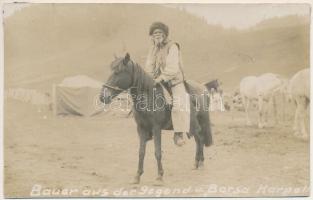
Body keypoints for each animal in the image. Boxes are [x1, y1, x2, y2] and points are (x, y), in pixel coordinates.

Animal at [100, 52, 212, 184]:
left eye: (118, 72)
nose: (103, 96)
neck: (149, 97)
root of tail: (203, 88)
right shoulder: (141, 129)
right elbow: (141, 152)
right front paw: (137, 176)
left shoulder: (156, 128)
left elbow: (157, 152)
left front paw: (159, 176)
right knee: (198, 139)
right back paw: (196, 163)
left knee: (200, 139)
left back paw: (200, 163)